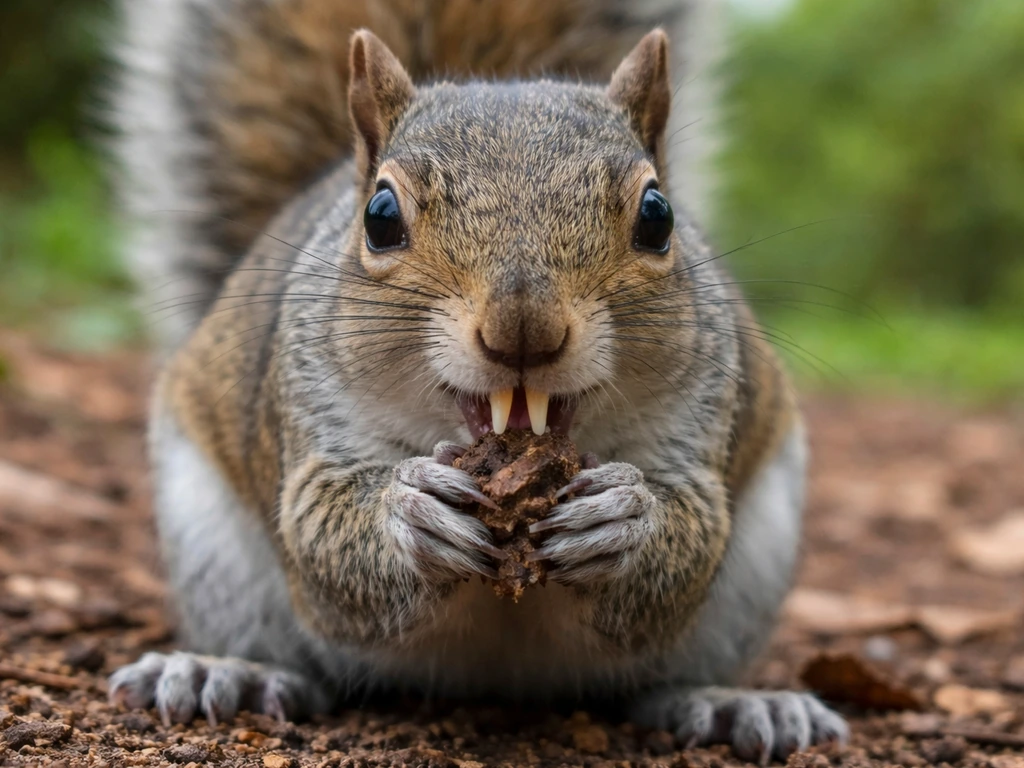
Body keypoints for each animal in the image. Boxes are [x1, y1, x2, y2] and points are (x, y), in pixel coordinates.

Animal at [108, 0, 848, 762]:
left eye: (657, 216)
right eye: (380, 218)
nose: (523, 327)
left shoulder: (698, 426)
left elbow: (691, 534)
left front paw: (624, 518)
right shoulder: (310, 420)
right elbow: (320, 533)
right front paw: (410, 511)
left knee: (660, 681)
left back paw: (729, 703)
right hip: (211, 548)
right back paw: (231, 673)